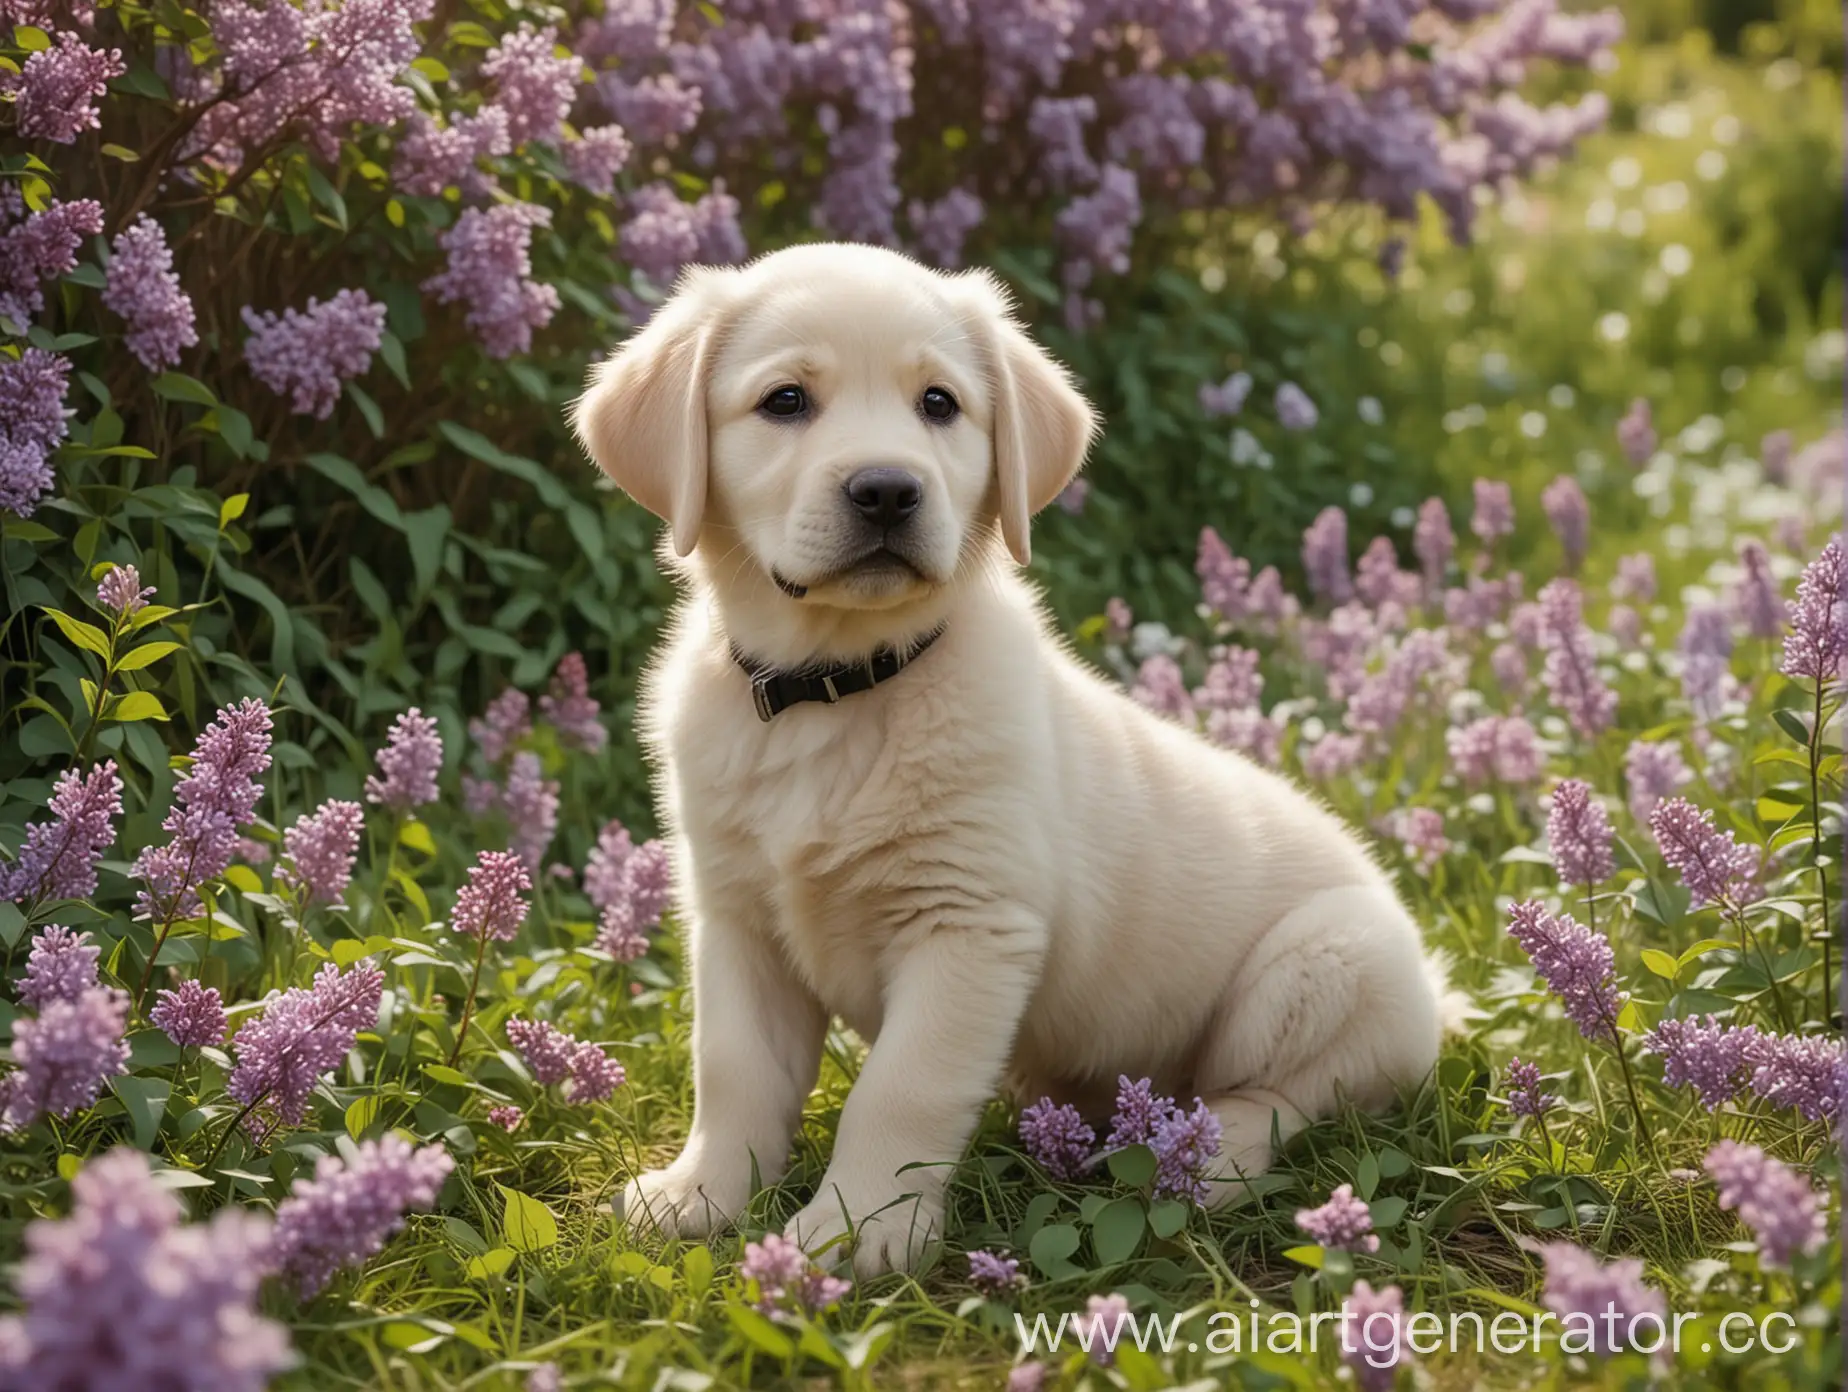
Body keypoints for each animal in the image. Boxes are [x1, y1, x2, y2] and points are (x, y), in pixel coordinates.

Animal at [569, 244, 1448, 1279]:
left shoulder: (968, 925)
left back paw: (1198, 1159)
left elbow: (898, 1091)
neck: (837, 690)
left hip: (1327, 963)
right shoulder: (738, 921)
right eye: (785, 401)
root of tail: (1442, 996)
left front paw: (854, 1230)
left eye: (939, 404)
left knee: (1281, 1099)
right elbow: (735, 1070)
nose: (887, 489)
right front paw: (699, 1196)